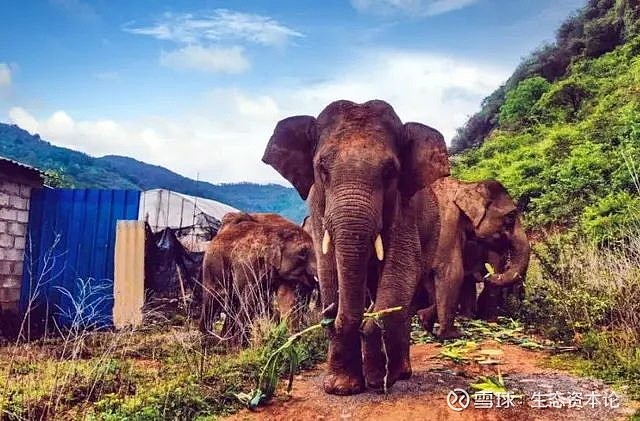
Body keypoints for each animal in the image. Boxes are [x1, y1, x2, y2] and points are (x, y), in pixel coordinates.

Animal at [201, 212, 316, 342]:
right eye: (303, 253)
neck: (276, 233)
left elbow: (286, 297)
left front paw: (293, 340)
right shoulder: (251, 265)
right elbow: (250, 298)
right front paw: (237, 344)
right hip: (212, 263)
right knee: (215, 297)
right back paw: (208, 339)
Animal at [416, 176, 528, 334]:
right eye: (511, 215)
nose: (486, 276)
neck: (466, 185)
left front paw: (425, 320)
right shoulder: (447, 220)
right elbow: (451, 271)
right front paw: (451, 334)